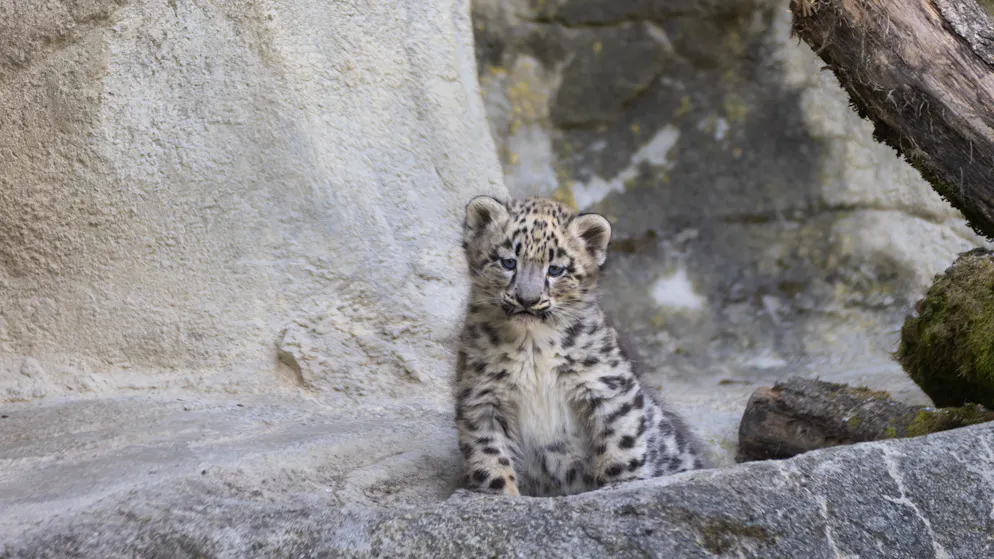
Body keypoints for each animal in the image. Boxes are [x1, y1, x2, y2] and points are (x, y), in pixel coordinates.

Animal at [455, 195, 706, 497]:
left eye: (555, 269)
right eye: (508, 262)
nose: (527, 299)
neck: (533, 346)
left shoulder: (606, 385)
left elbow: (620, 444)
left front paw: (623, 487)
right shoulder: (482, 399)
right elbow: (490, 458)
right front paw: (503, 496)